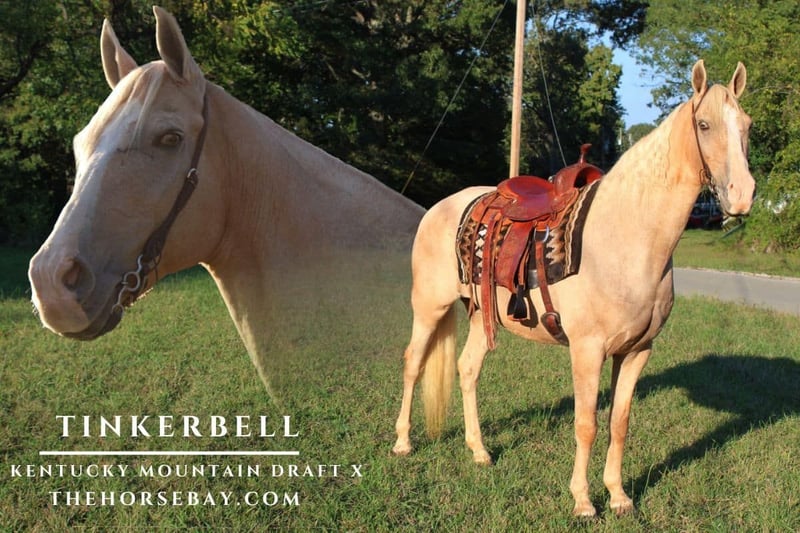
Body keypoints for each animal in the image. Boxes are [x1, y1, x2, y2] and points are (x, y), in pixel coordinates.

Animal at [392, 60, 755, 517]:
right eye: (704, 124)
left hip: (480, 316)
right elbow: (587, 424)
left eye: (747, 124)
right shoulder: (588, 350)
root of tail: (439, 207)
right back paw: (403, 442)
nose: (742, 195)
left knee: (467, 369)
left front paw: (618, 496)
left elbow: (619, 422)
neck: (628, 235)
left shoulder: (637, 350)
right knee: (413, 363)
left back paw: (479, 451)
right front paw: (583, 500)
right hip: (429, 307)